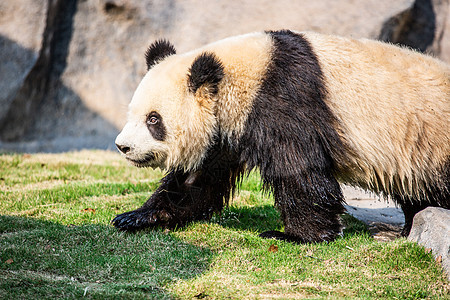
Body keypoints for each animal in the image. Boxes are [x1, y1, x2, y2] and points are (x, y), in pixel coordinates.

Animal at [111, 29, 446, 243]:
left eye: (153, 120)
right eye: (132, 113)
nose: (123, 146)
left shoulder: (283, 99)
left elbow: (298, 168)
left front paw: (299, 236)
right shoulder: (225, 128)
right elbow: (197, 180)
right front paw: (136, 217)